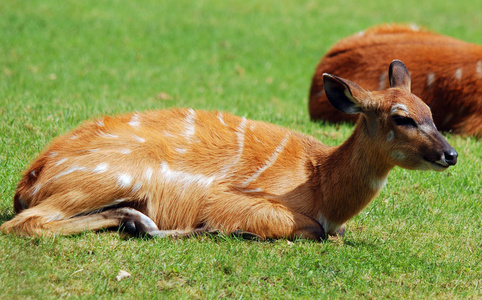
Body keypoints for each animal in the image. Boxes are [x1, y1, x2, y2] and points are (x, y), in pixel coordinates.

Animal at [0, 59, 460, 240]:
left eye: (431, 111)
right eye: (402, 118)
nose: (450, 154)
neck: (321, 182)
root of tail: (30, 179)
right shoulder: (232, 198)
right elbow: (307, 228)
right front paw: (221, 228)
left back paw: (134, 221)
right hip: (115, 174)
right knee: (24, 224)